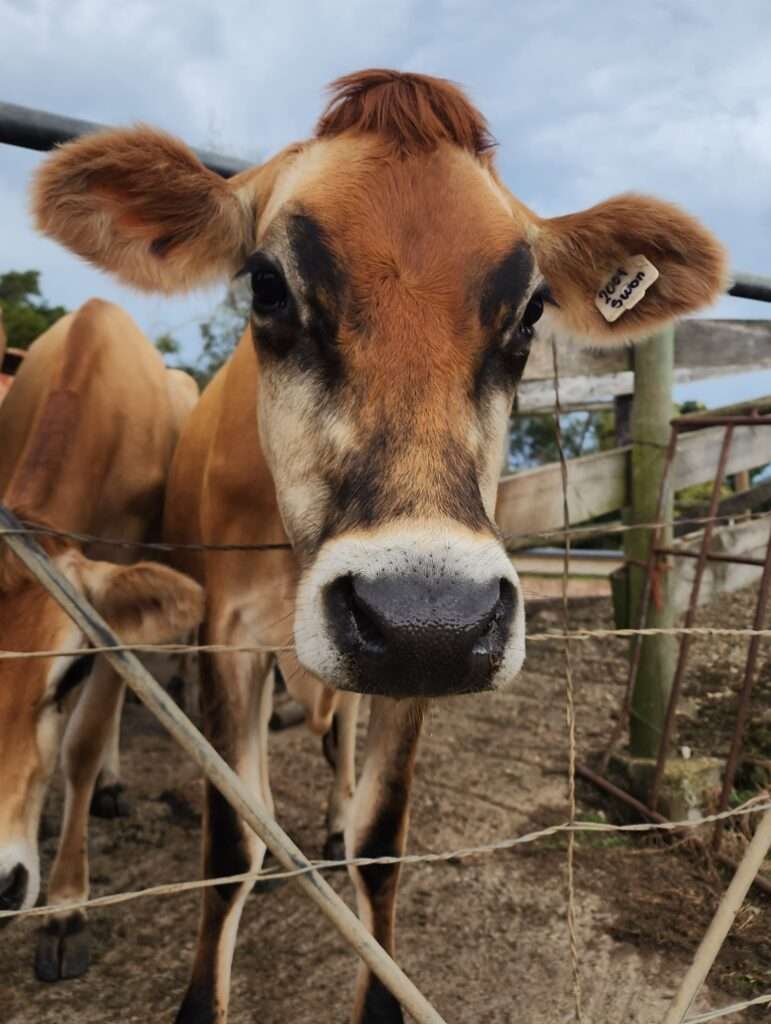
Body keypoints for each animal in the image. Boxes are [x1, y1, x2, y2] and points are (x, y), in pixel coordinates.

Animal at [31, 68, 729, 1019]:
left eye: (531, 310)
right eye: (266, 285)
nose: (423, 616)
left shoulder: (423, 671)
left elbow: (381, 840)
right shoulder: (225, 637)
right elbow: (229, 844)